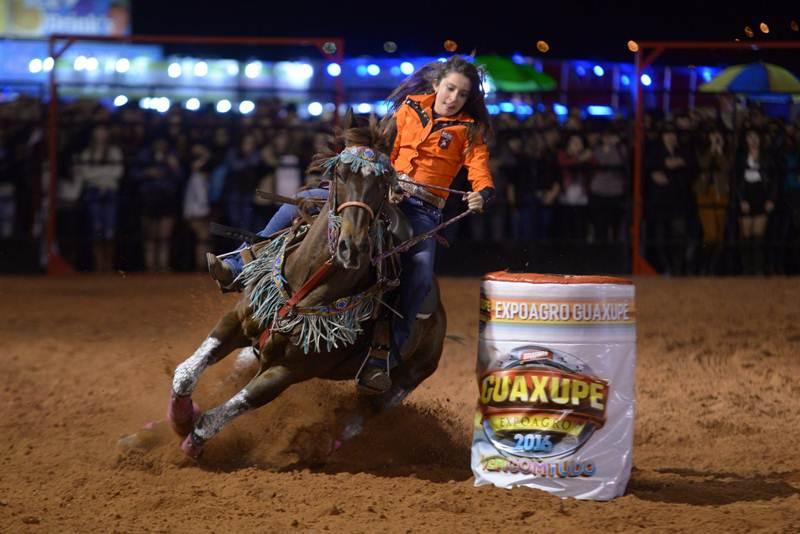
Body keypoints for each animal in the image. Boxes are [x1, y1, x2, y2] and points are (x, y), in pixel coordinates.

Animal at [168, 112, 446, 460]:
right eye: (340, 173)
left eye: (384, 183)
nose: (352, 247)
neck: (308, 279)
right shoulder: (236, 320)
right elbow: (185, 374)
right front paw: (180, 418)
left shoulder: (286, 372)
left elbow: (215, 418)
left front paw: (190, 439)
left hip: (402, 383)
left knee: (356, 421)